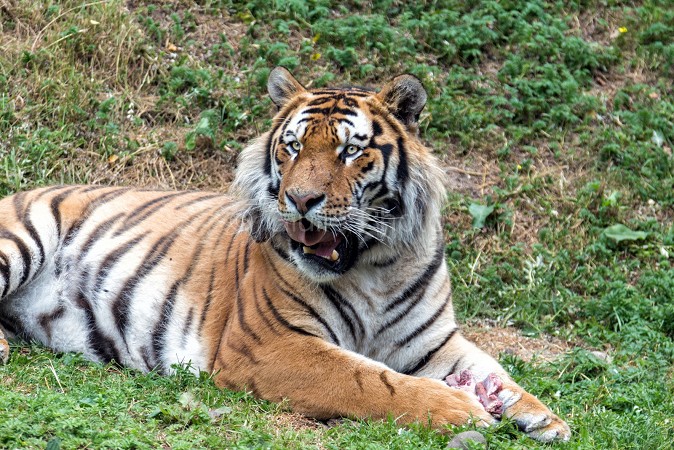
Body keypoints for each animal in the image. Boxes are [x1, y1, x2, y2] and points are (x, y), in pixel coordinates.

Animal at [0, 67, 570, 442]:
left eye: (350, 150)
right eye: (293, 146)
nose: (299, 200)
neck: (377, 266)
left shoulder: (434, 342)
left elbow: (494, 369)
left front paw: (544, 417)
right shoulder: (272, 346)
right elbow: (369, 380)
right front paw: (462, 410)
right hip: (20, 240)